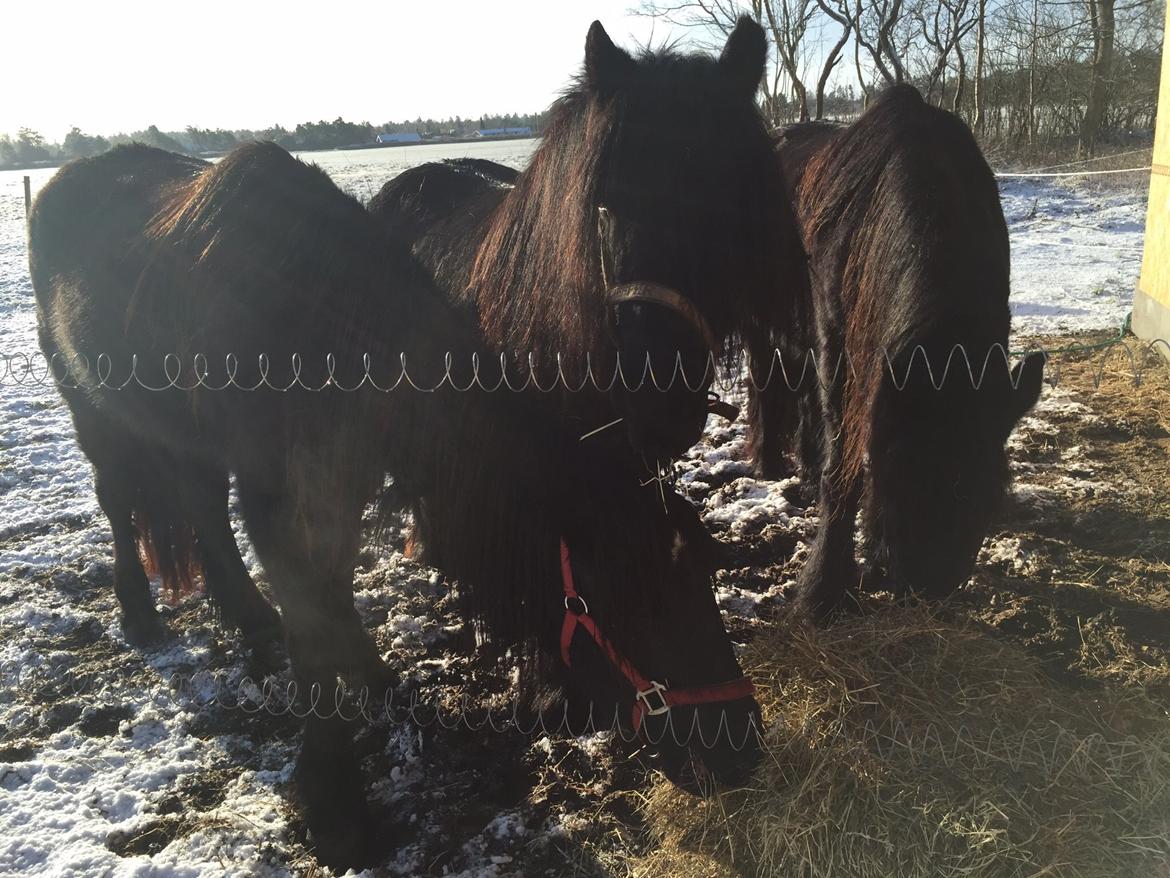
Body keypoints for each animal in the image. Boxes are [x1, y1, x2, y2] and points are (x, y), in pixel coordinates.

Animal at [746, 84, 1046, 620]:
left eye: (987, 490)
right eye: (903, 472)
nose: (929, 588)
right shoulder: (840, 351)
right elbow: (841, 467)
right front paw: (822, 592)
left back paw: (802, 473)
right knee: (765, 384)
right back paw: (769, 466)